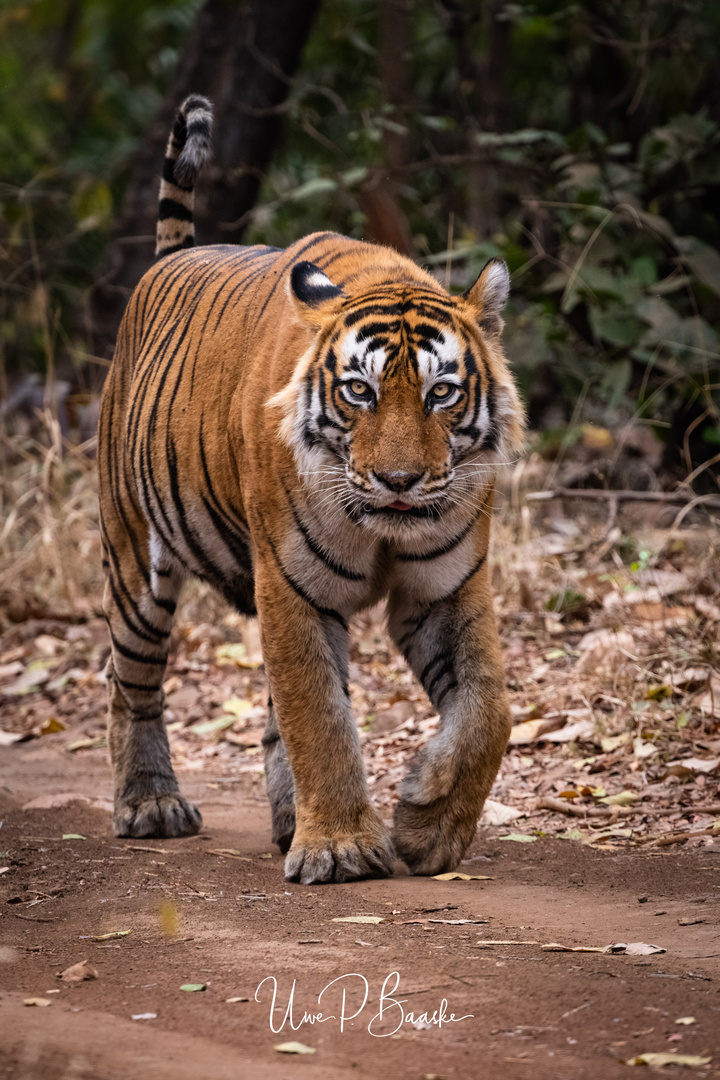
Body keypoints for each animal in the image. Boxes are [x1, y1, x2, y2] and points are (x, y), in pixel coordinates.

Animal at [98, 95, 524, 885]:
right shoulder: (291, 585)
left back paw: (287, 817)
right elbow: (319, 717)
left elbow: (489, 711)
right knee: (130, 682)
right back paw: (150, 805)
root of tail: (170, 259)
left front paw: (428, 825)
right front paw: (344, 849)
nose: (398, 481)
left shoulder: (447, 587)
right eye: (359, 392)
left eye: (442, 393)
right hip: (136, 561)